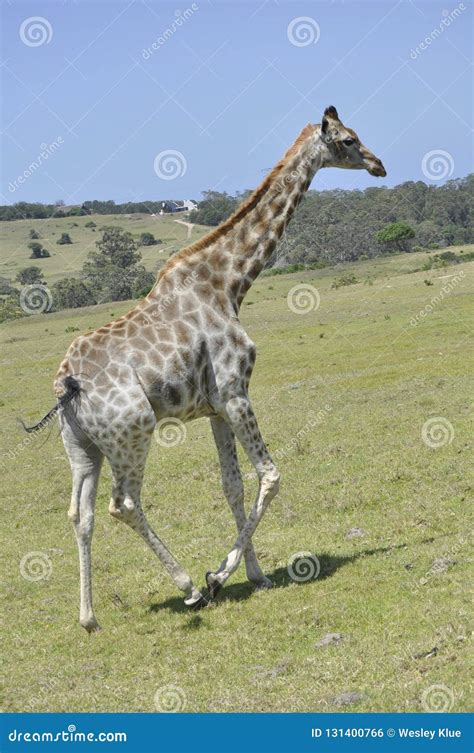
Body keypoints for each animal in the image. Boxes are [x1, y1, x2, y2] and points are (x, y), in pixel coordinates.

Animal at [26, 106, 386, 631]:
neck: (229, 283)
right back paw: (189, 588)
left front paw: (257, 575)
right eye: (347, 139)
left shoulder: (215, 407)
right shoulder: (236, 391)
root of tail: (66, 384)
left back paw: (89, 618)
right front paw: (218, 576)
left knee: (81, 513)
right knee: (123, 503)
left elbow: (232, 485)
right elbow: (270, 475)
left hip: (82, 446)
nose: (379, 164)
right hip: (134, 431)